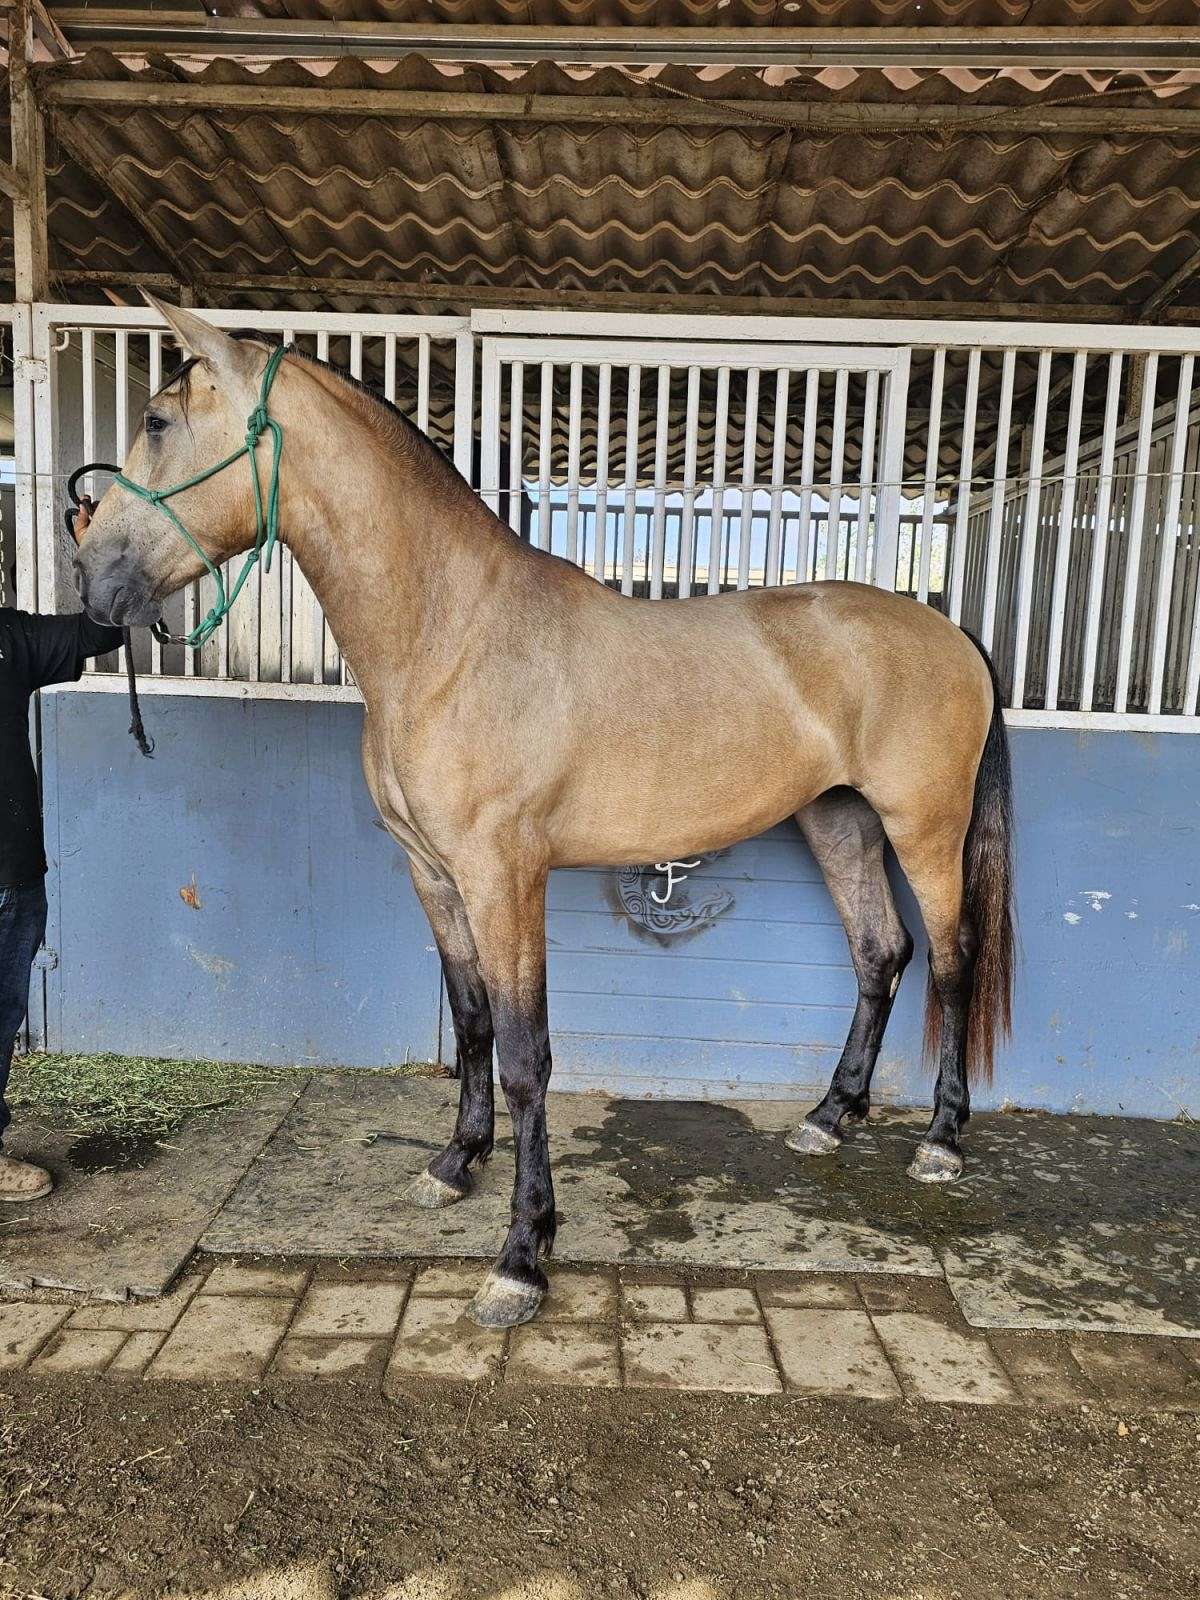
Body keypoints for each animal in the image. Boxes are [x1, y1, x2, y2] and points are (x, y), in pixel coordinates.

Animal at [74, 300, 1014, 1329]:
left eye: (157, 422)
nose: (88, 576)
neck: (450, 635)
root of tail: (951, 631)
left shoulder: (506, 877)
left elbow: (527, 1056)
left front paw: (522, 1256)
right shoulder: (436, 875)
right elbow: (474, 1024)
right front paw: (455, 1165)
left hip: (923, 829)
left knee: (953, 962)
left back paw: (940, 1142)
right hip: (838, 821)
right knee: (880, 953)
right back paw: (828, 1119)